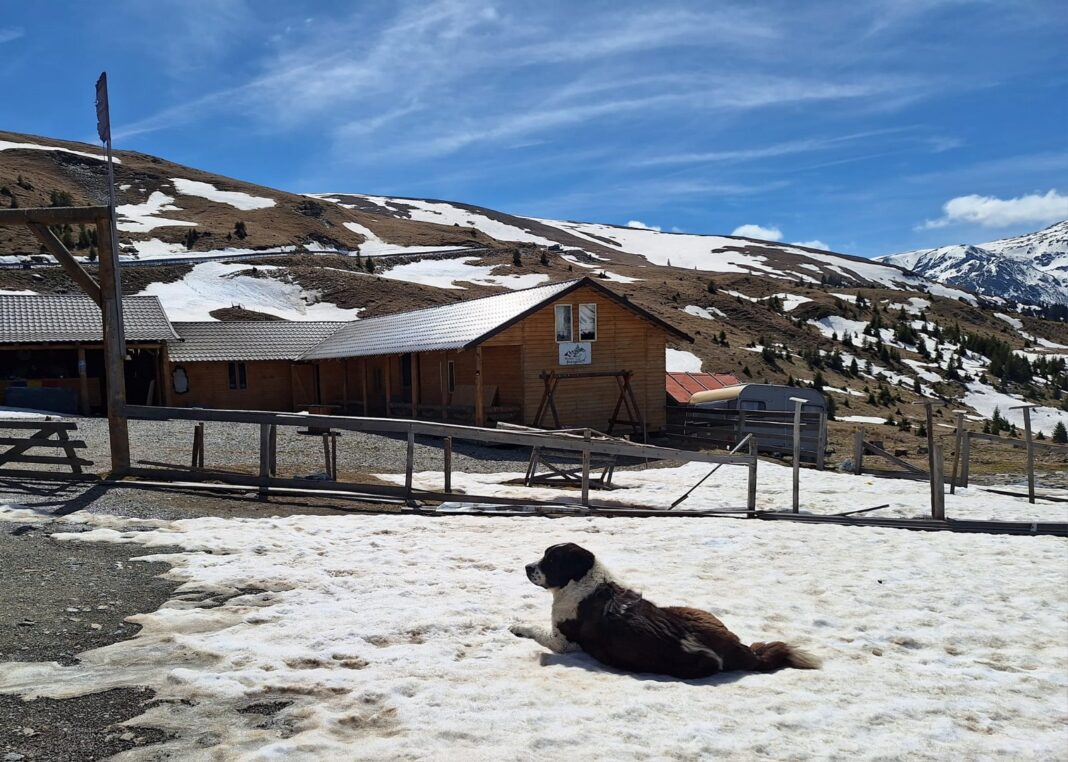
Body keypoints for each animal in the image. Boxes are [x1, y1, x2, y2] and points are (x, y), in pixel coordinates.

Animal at [512, 540, 820, 679]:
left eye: (551, 560)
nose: (527, 567)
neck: (583, 582)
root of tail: (740, 651)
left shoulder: (563, 641)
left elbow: (537, 630)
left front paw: (518, 626)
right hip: (690, 610)